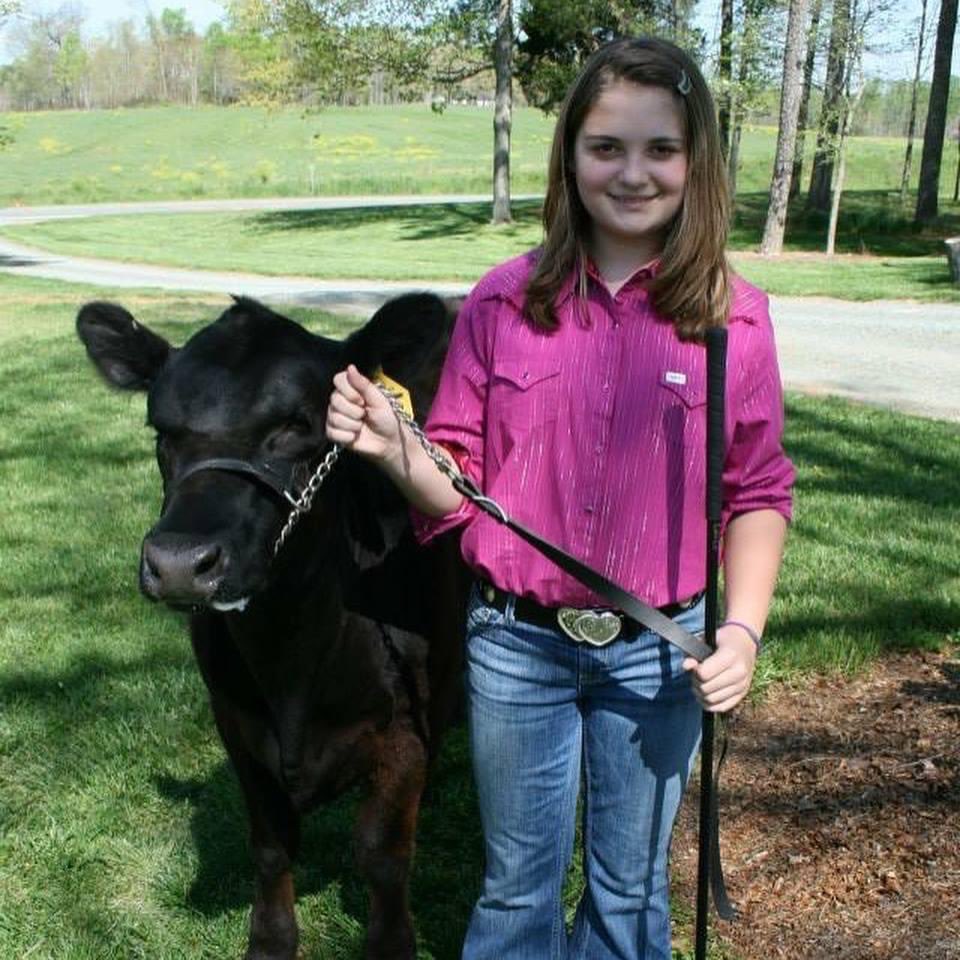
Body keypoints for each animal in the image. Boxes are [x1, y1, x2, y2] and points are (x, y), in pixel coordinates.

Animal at [76, 293, 469, 960]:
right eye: (161, 431)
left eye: (297, 424)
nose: (179, 563)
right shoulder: (235, 720)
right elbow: (269, 845)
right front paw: (270, 941)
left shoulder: (407, 726)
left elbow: (382, 854)